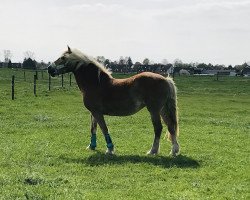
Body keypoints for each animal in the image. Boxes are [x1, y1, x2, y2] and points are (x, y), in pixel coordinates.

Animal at [47, 46, 180, 156]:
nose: (49, 69)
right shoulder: (93, 113)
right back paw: (174, 151)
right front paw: (92, 146)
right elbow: (93, 128)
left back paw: (153, 151)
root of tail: (165, 79)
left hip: (154, 110)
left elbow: (104, 128)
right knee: (171, 126)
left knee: (158, 128)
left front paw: (110, 149)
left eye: (63, 58)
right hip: (162, 110)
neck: (95, 83)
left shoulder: (97, 113)